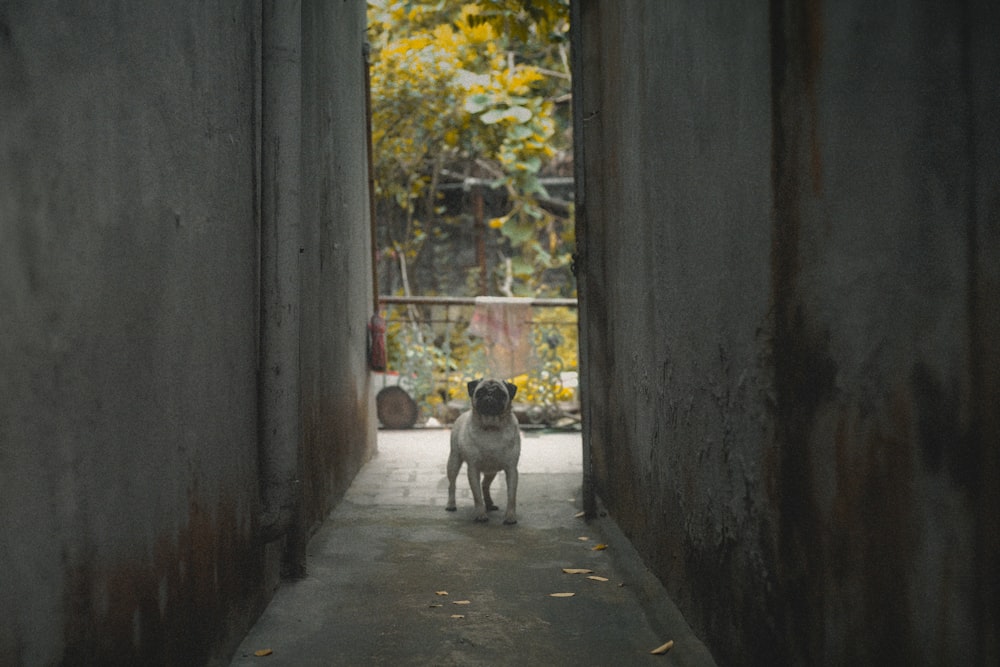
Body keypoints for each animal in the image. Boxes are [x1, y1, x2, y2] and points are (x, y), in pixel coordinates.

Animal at [448, 378, 524, 524]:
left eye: (500, 393)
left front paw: (510, 516)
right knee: (452, 484)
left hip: (491, 471)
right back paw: (451, 505)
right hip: (453, 461)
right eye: (480, 392)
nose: (489, 394)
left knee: (485, 485)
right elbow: (477, 495)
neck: (491, 427)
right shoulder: (473, 469)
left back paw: (489, 504)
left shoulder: (511, 470)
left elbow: (511, 496)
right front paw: (480, 514)